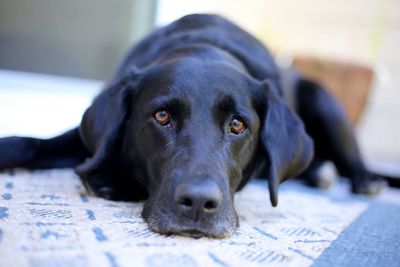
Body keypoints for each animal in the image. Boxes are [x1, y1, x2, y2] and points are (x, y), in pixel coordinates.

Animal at [0, 14, 382, 239]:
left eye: (237, 124)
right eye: (162, 116)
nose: (198, 202)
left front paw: (110, 180)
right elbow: (29, 143)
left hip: (324, 100)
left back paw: (361, 180)